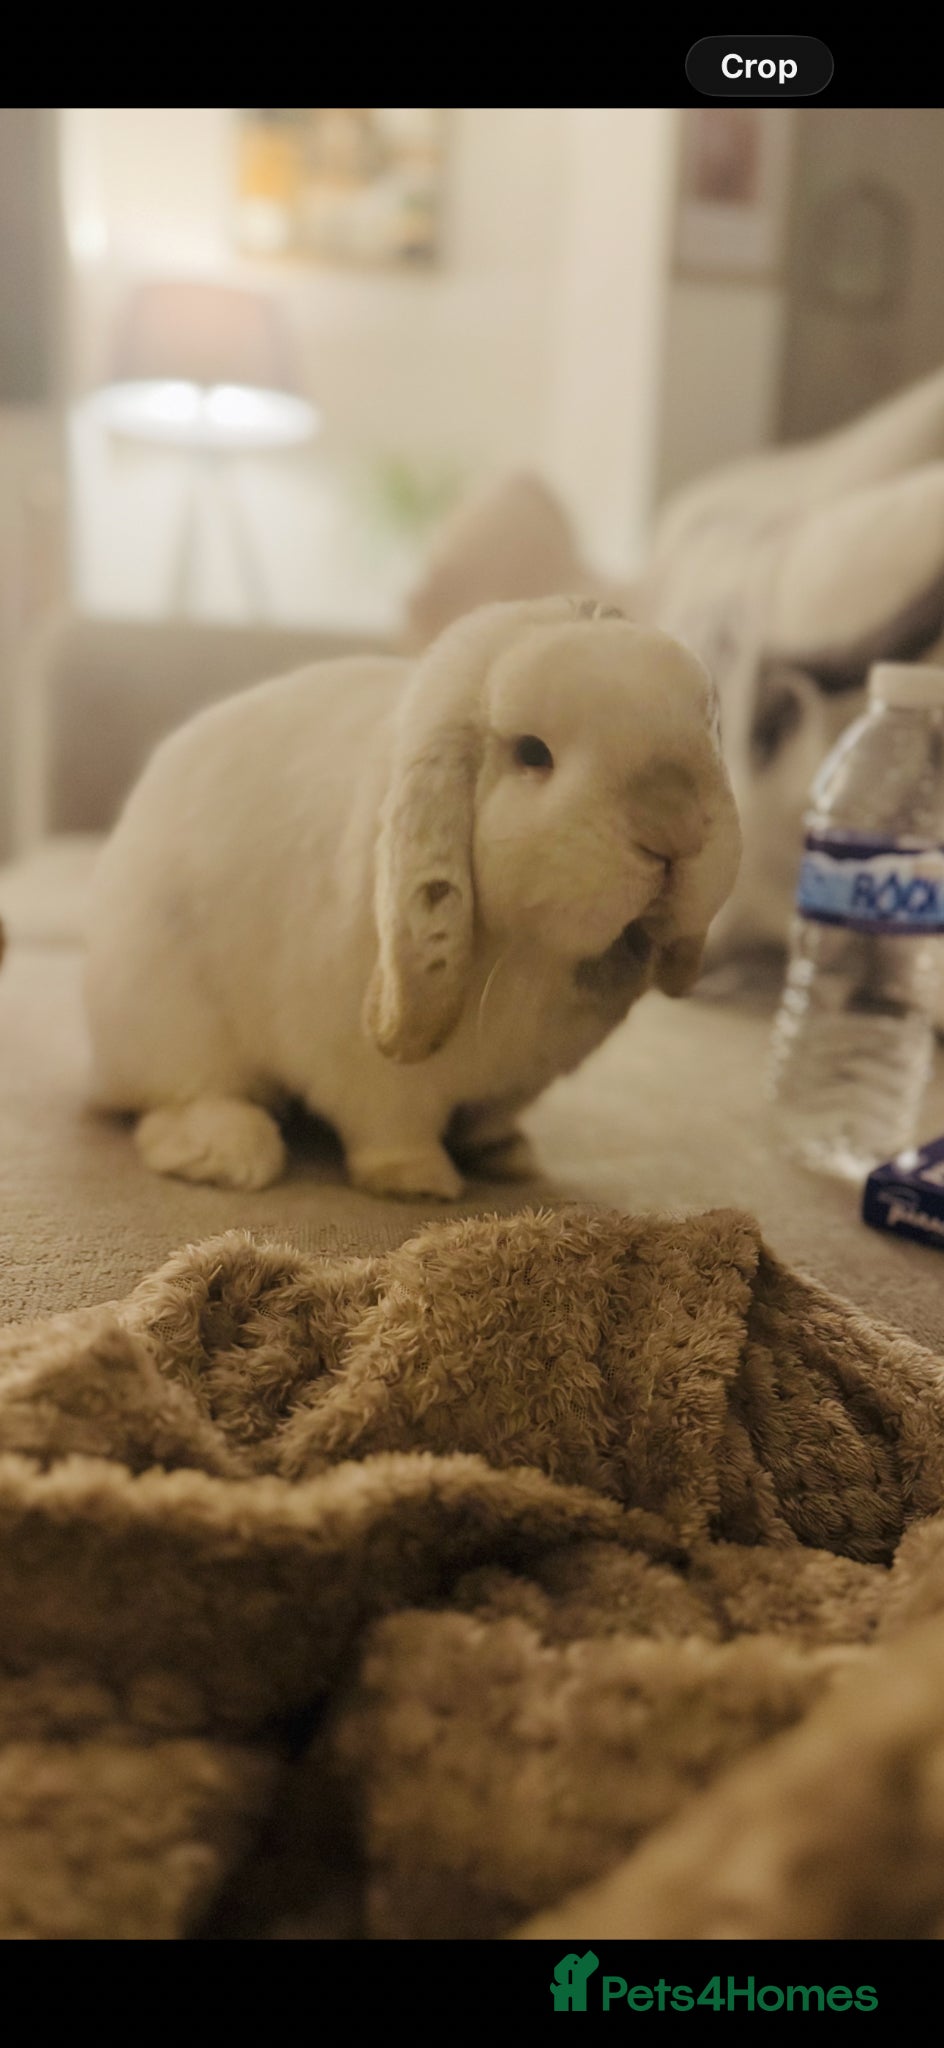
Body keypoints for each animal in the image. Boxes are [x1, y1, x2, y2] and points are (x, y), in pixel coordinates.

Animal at [83, 596, 741, 1200]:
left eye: (710, 731)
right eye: (532, 752)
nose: (675, 829)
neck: (534, 954)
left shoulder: (519, 1081)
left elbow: (492, 1117)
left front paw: (510, 1157)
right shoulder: (372, 1075)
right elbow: (391, 1122)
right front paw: (417, 1181)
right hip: (171, 1018)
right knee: (178, 1096)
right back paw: (232, 1153)